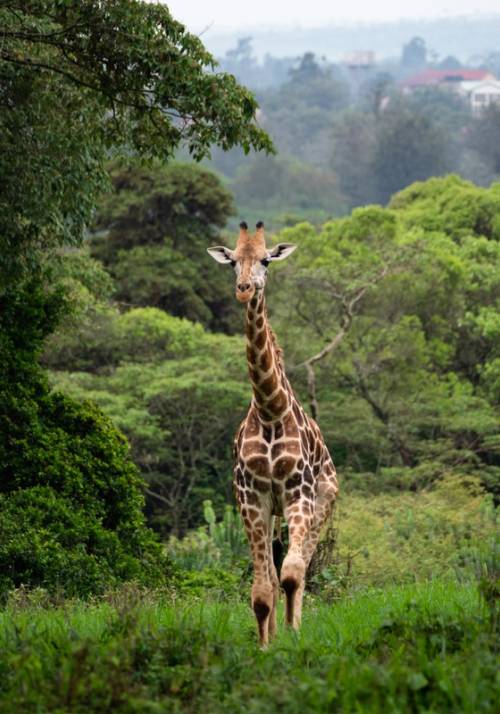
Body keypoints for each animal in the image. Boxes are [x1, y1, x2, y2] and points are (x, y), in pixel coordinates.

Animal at [207, 221, 338, 647]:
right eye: (233, 261)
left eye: (266, 260)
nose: (244, 288)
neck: (269, 409)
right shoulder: (251, 498)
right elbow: (263, 590)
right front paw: (266, 645)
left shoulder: (299, 492)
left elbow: (293, 574)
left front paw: (295, 636)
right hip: (272, 511)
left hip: (323, 502)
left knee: (302, 567)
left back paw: (294, 625)